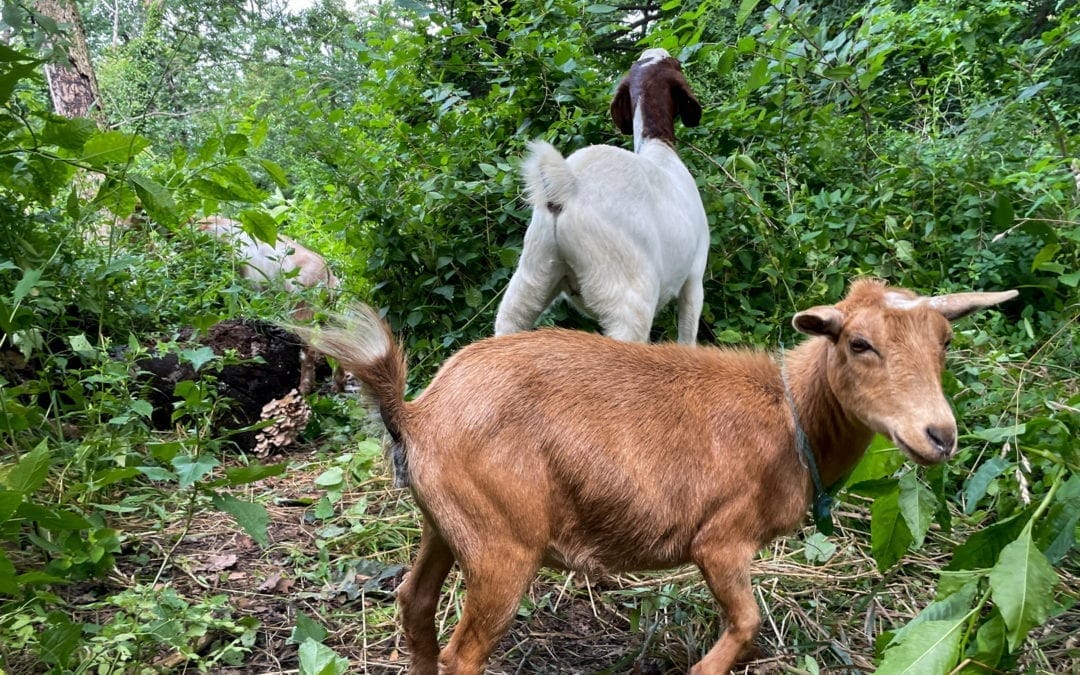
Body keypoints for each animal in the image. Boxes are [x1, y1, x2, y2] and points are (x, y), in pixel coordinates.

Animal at [200, 216, 343, 394]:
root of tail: (329, 279)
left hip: (303, 313)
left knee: (309, 350)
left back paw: (304, 388)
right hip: (327, 314)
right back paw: (338, 386)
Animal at [297, 279, 1016, 673]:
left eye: (944, 342)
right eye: (859, 343)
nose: (940, 435)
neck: (791, 419)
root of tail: (417, 413)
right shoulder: (721, 539)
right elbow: (747, 623)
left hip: (447, 524)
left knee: (414, 602)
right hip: (503, 543)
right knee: (461, 654)